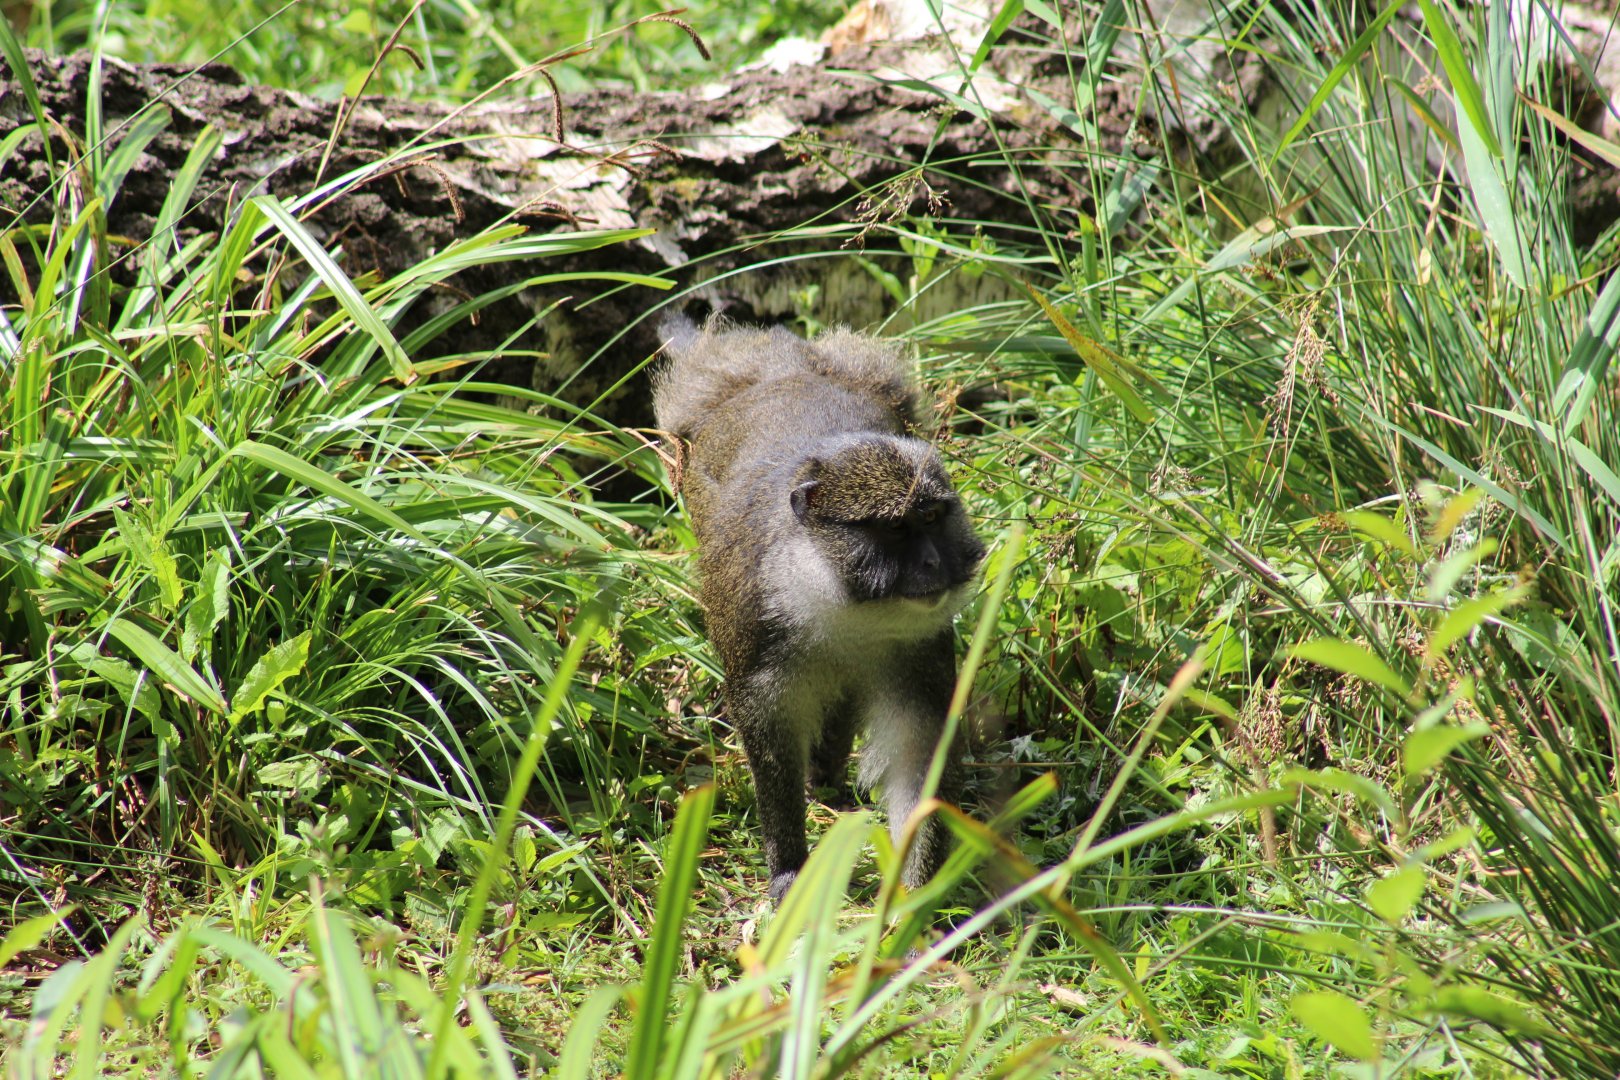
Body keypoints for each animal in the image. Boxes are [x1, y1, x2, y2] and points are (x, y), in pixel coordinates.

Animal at [653, 314, 986, 902]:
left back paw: (828, 777)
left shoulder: (919, 648)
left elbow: (917, 751)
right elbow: (769, 739)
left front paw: (913, 895)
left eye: (932, 520)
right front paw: (789, 867)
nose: (931, 565)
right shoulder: (760, 634)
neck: (836, 597)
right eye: (895, 530)